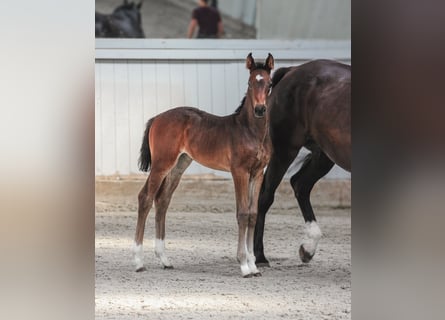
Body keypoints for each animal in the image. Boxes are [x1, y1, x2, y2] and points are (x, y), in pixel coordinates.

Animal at [253, 58, 350, 266]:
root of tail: (292, 70)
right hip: (284, 150)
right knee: (265, 196)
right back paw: (259, 256)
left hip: (324, 155)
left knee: (301, 185)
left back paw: (308, 248)